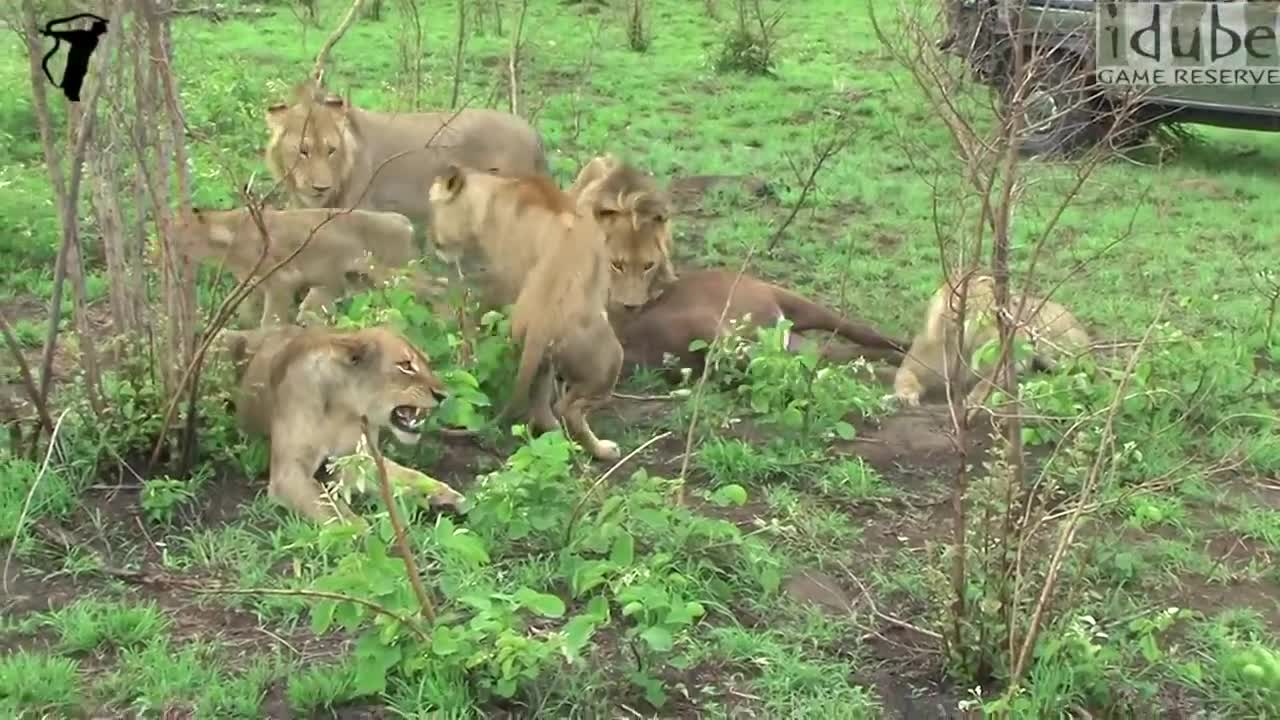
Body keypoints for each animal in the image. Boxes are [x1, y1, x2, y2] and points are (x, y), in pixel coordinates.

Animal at [222, 322, 468, 517]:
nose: (443, 395)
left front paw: (450, 497)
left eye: (426, 364)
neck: (344, 410)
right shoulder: (288, 473)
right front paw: (364, 538)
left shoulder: (357, 460)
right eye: (405, 365)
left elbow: (411, 476)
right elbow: (332, 509)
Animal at [896, 271, 1095, 407]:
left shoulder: (1008, 365)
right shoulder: (914, 363)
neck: (962, 342)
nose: (1018, 318)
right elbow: (904, 375)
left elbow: (986, 384)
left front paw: (974, 400)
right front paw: (906, 395)